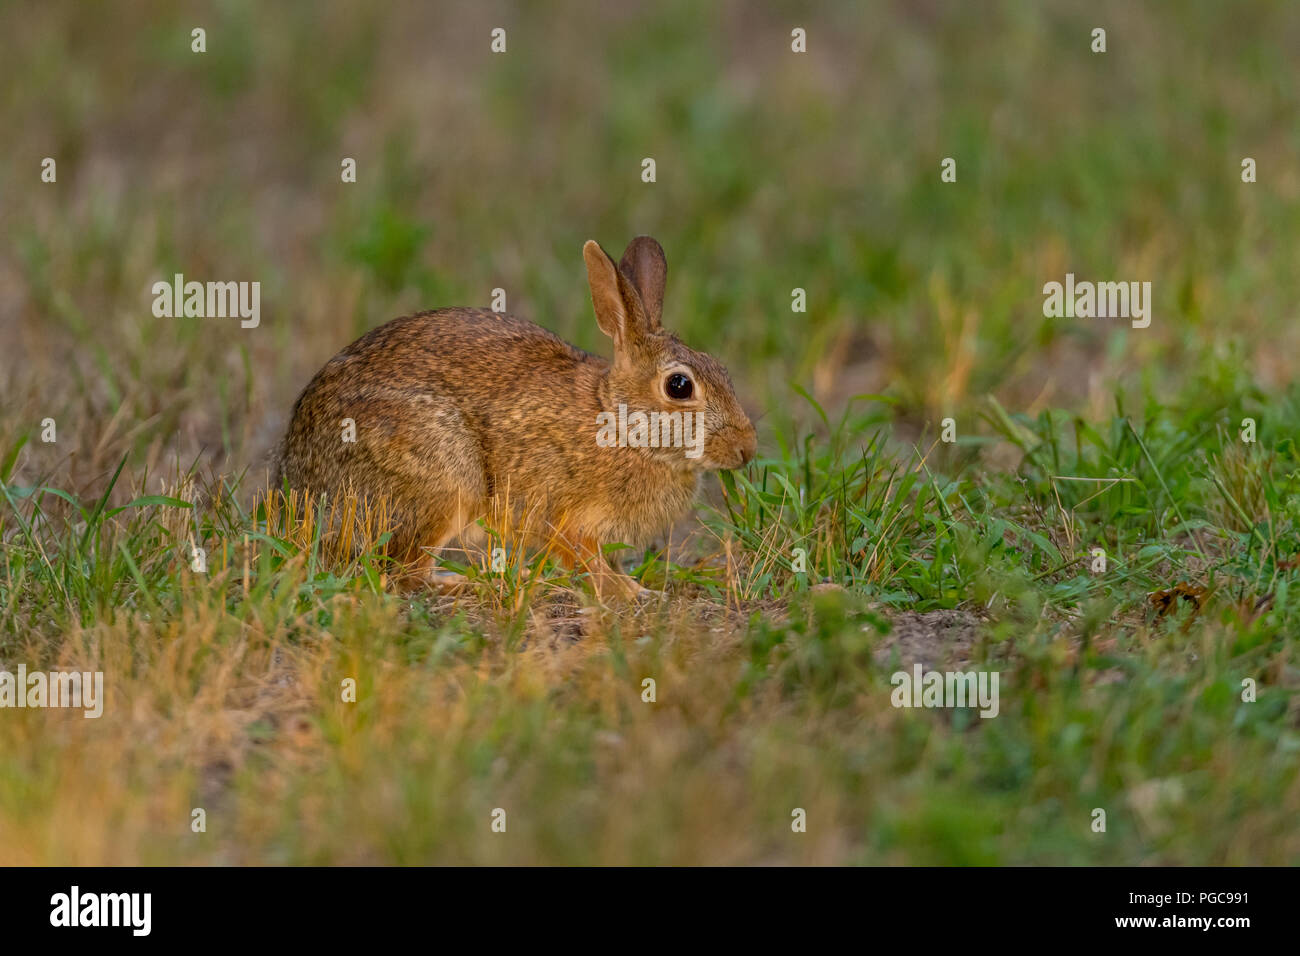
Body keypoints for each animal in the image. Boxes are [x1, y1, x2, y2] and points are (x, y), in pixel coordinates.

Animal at [274, 236, 757, 598]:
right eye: (679, 386)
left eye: (721, 368)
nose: (746, 450)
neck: (621, 425)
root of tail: (298, 488)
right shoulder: (559, 516)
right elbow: (584, 560)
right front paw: (629, 593)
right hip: (446, 480)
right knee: (406, 574)